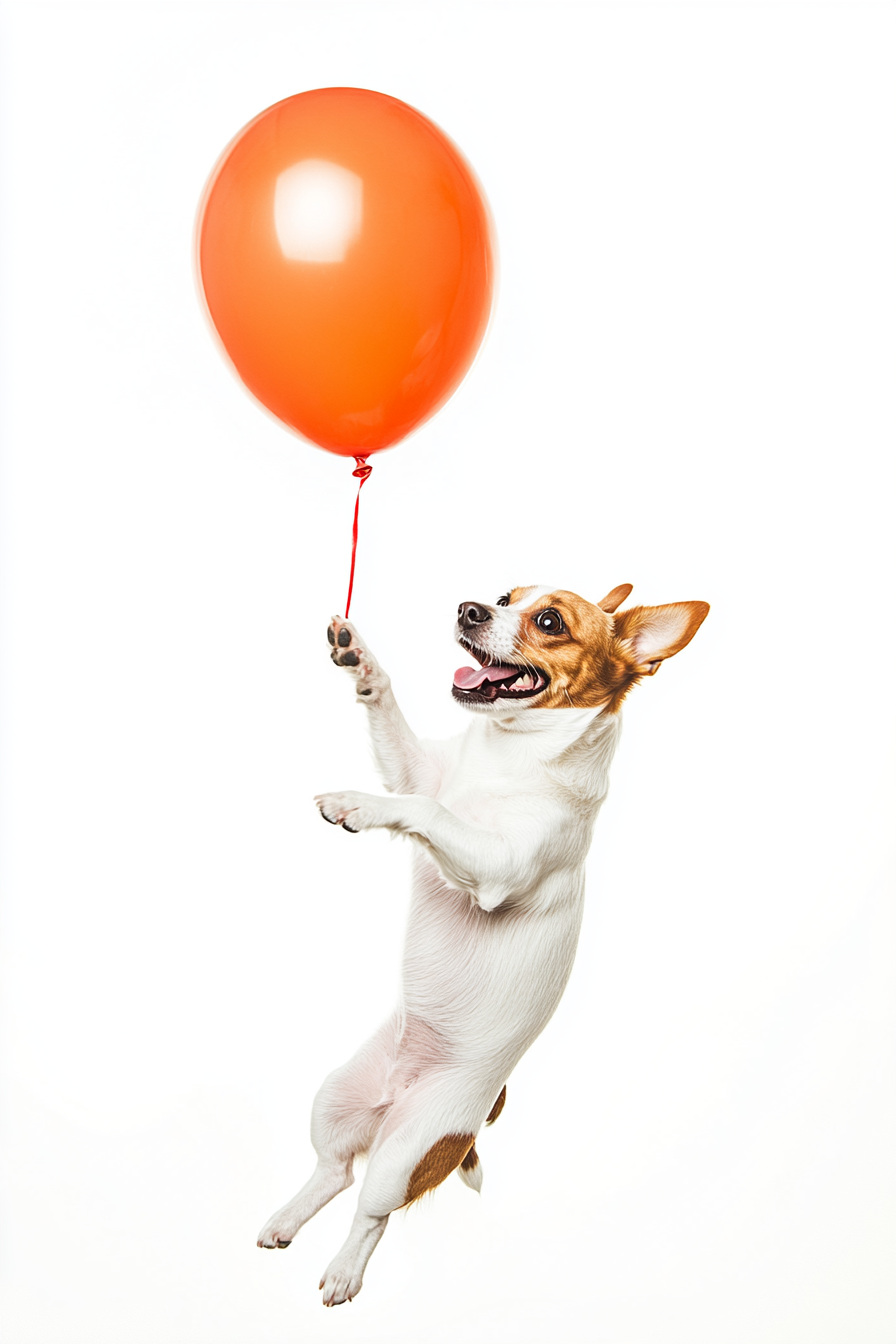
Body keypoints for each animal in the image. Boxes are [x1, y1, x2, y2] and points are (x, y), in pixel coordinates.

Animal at [257, 583, 709, 1306]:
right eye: (505, 596)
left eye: (549, 620)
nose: (470, 608)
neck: (509, 757)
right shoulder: (417, 773)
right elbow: (401, 743)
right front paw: (360, 659)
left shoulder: (496, 865)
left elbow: (429, 814)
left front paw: (357, 803)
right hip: (334, 1099)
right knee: (333, 1171)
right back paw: (283, 1222)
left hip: (406, 1151)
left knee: (371, 1208)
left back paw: (345, 1272)